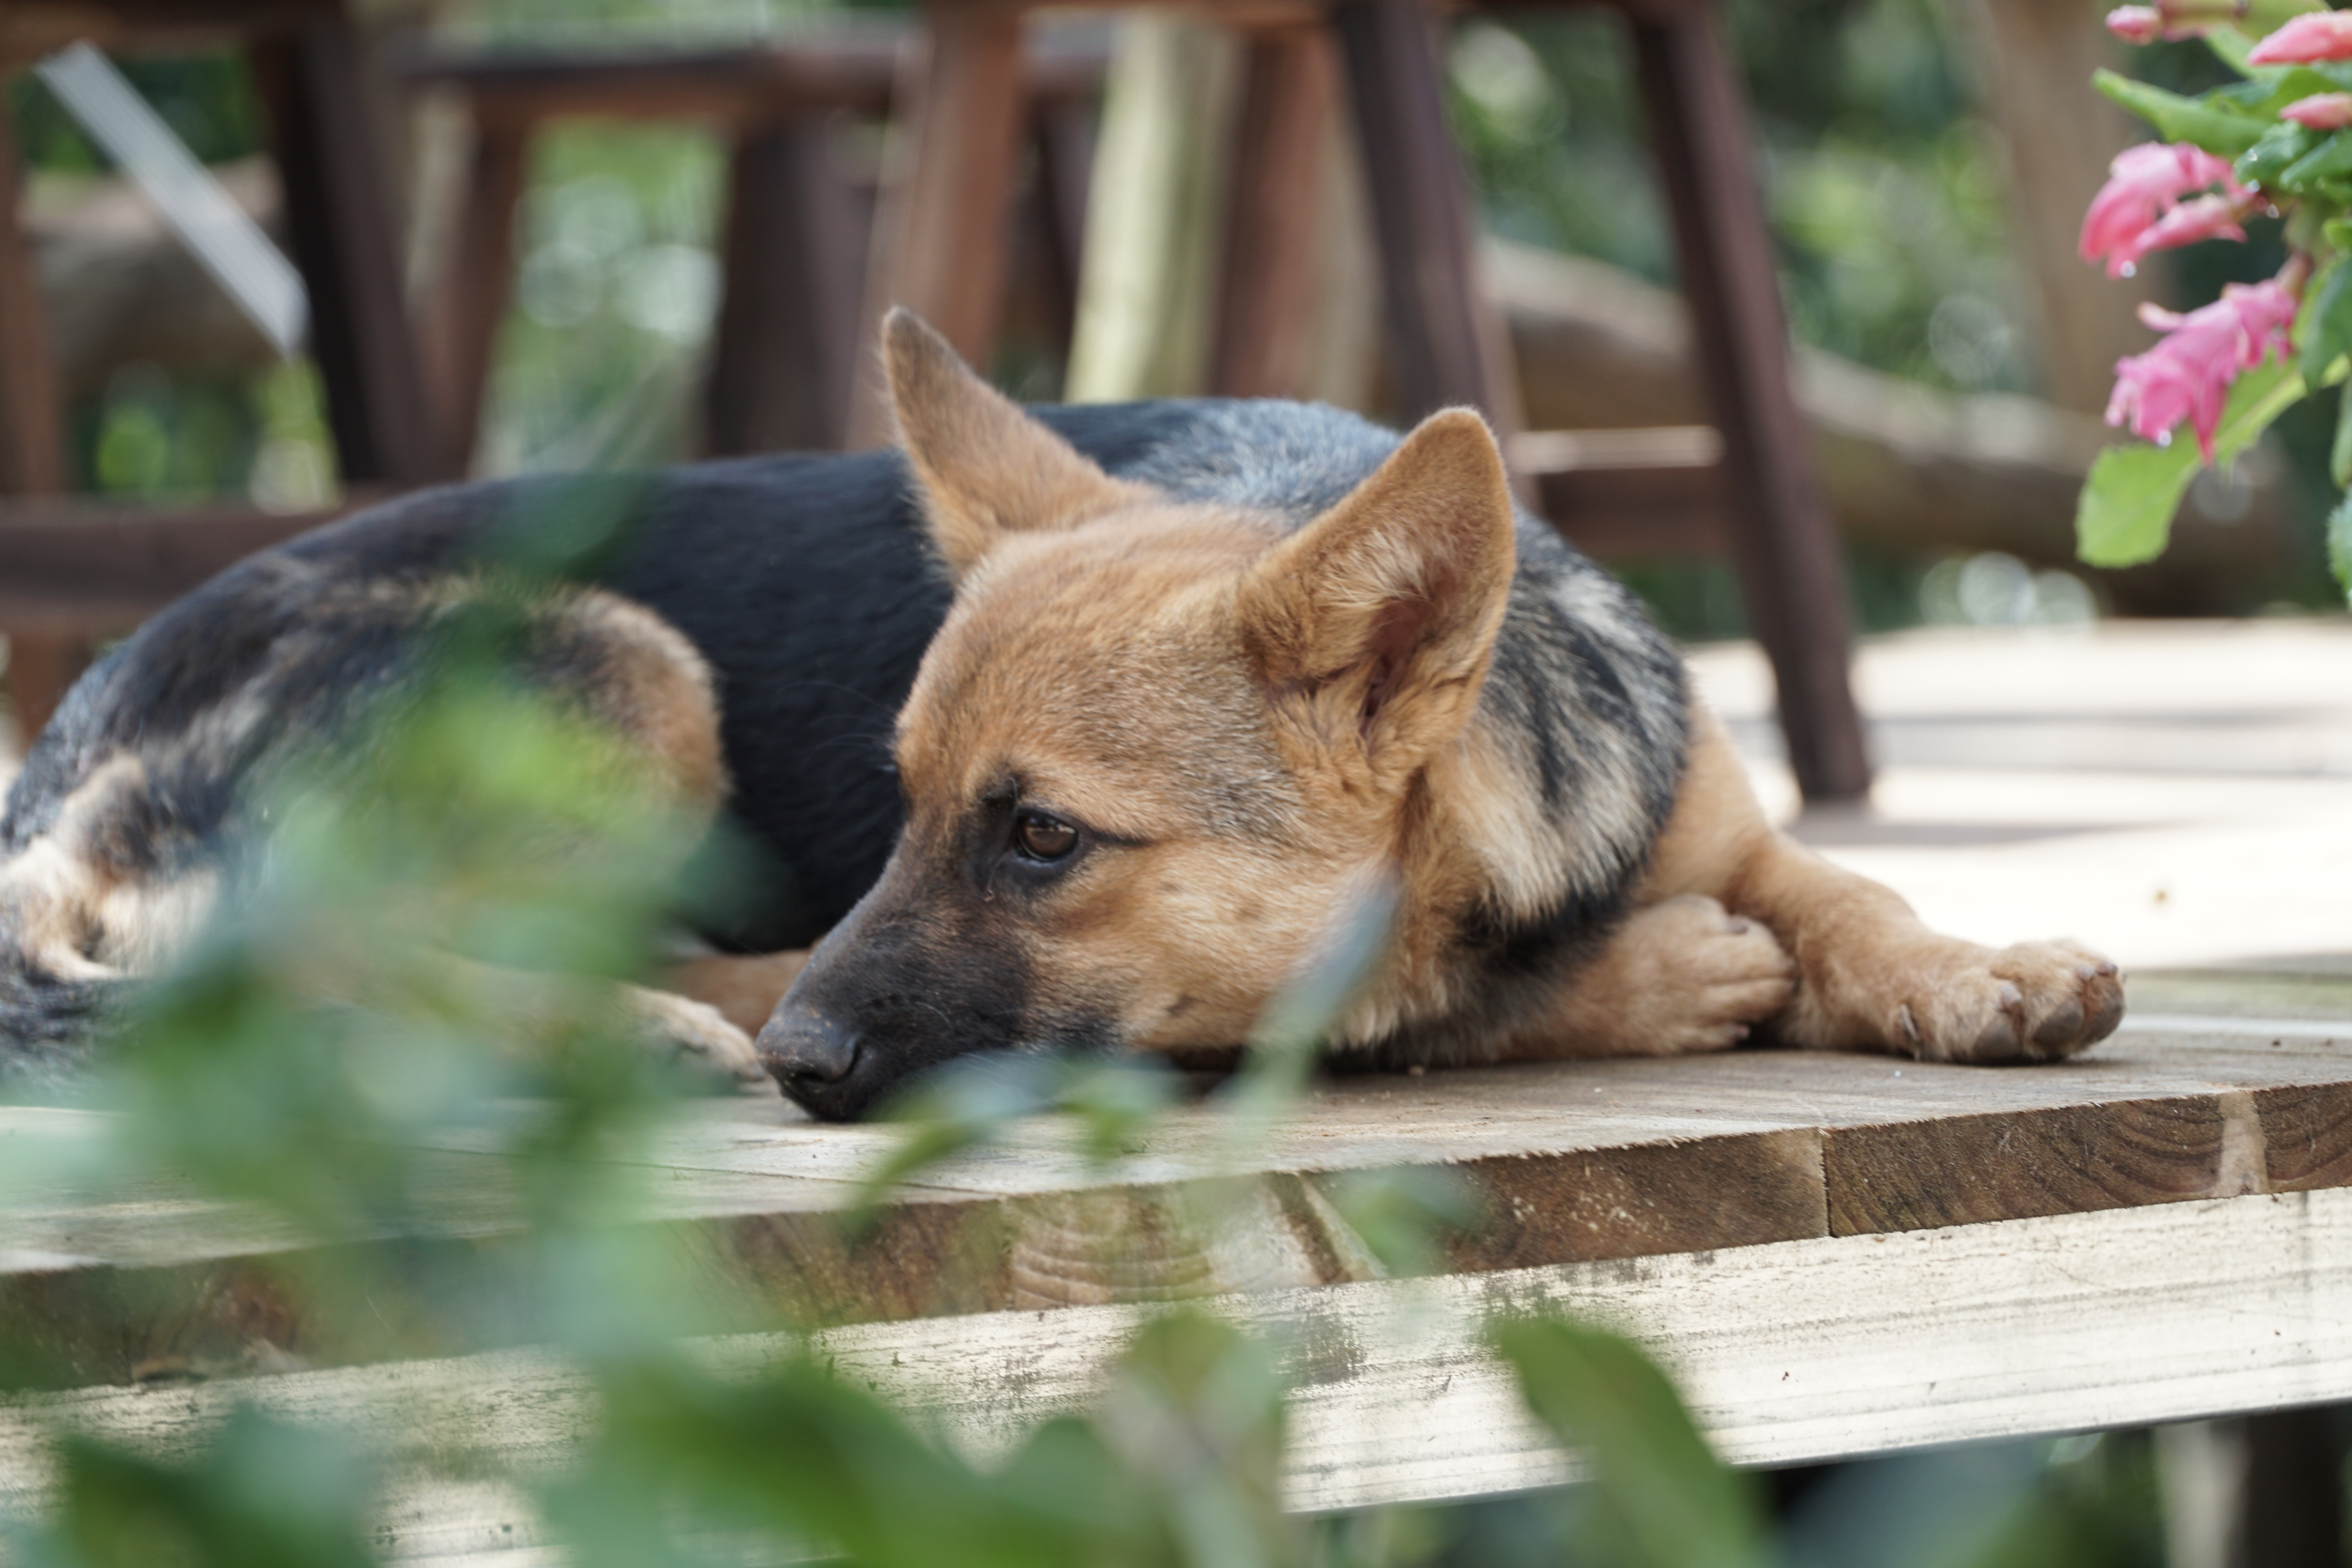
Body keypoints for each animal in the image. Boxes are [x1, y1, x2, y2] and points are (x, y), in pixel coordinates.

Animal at [0, 310, 2126, 1114]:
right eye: (905, 804)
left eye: (1040, 836)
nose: (811, 1070)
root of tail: (66, 760)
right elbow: (1408, 995)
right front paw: (1654, 976)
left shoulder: (1724, 821)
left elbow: (1848, 889)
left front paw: (1976, 966)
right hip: (619, 664)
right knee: (323, 968)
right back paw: (666, 1022)